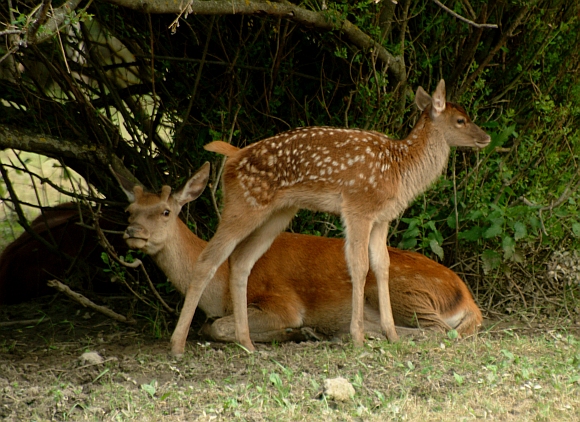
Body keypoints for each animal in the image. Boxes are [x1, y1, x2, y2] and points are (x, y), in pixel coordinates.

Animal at [120, 163, 482, 352]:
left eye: (166, 211)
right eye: (129, 210)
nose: (133, 231)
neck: (219, 289)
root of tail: (468, 299)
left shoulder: (281, 302)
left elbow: (217, 327)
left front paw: (292, 333)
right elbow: (211, 326)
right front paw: (297, 334)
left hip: (408, 291)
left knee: (438, 331)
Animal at [171, 79, 490, 352]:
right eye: (460, 120)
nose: (486, 137)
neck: (400, 171)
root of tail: (233, 157)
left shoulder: (381, 218)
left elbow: (382, 265)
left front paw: (391, 334)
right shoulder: (358, 207)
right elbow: (359, 266)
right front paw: (358, 337)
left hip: (277, 213)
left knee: (240, 262)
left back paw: (247, 343)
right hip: (243, 203)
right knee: (209, 259)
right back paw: (177, 345)